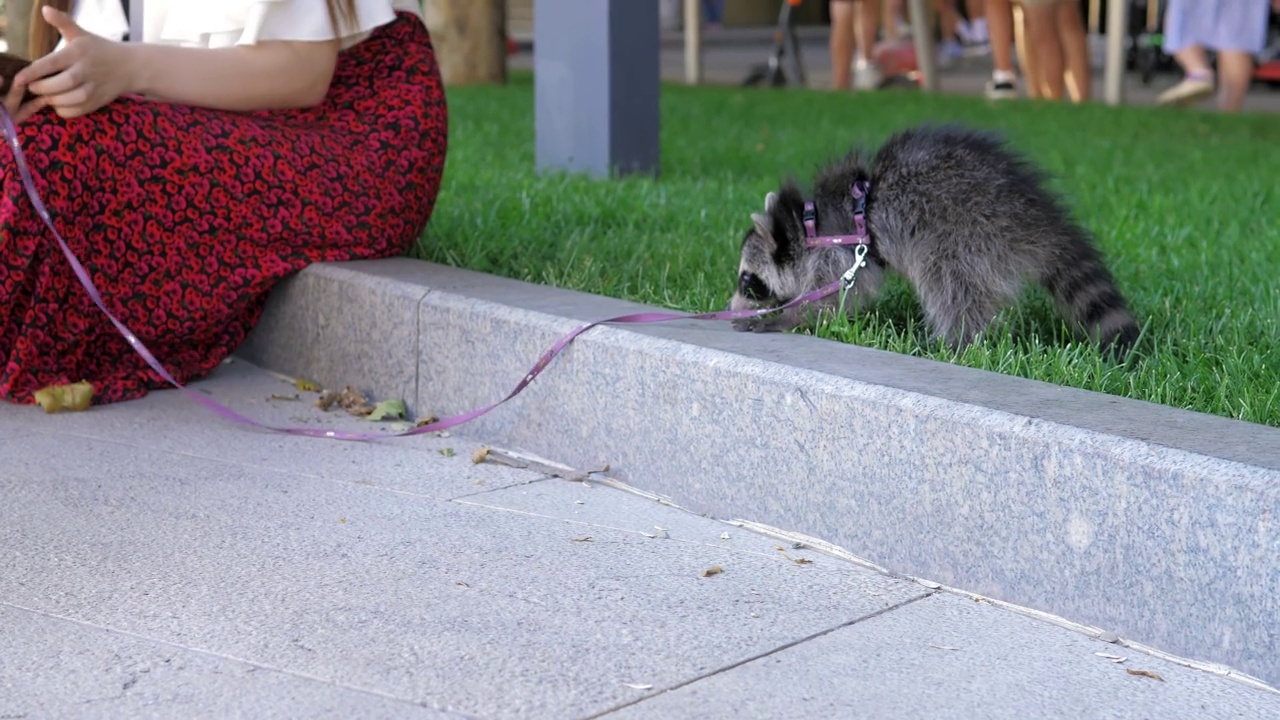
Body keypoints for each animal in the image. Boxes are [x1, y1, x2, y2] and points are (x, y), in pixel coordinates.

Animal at [732, 124, 1141, 356]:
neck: (805, 224)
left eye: (748, 280)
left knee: (949, 285)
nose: (730, 308)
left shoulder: (839, 251)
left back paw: (954, 341)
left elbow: (832, 298)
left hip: (968, 234)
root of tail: (1038, 220)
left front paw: (788, 316)